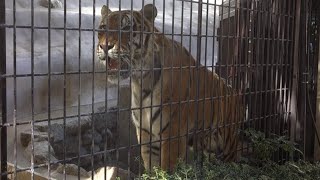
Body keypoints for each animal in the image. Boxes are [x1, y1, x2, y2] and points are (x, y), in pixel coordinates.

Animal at [96, 3, 246, 172]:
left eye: (126, 27)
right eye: (102, 28)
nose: (104, 46)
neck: (141, 81)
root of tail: (236, 94)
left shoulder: (172, 133)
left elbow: (167, 169)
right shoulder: (146, 133)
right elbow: (152, 168)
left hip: (228, 143)